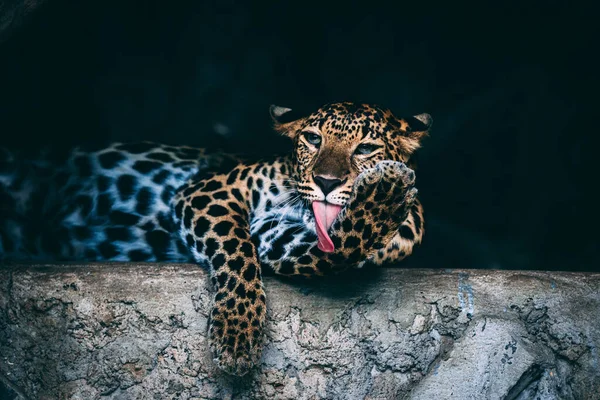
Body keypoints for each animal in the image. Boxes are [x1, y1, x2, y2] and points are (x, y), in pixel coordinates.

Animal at [0, 102, 432, 376]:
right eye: (312, 139)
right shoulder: (211, 191)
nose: (326, 182)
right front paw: (236, 335)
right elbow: (235, 249)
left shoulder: (276, 237)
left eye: (366, 148)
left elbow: (339, 246)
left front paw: (383, 197)